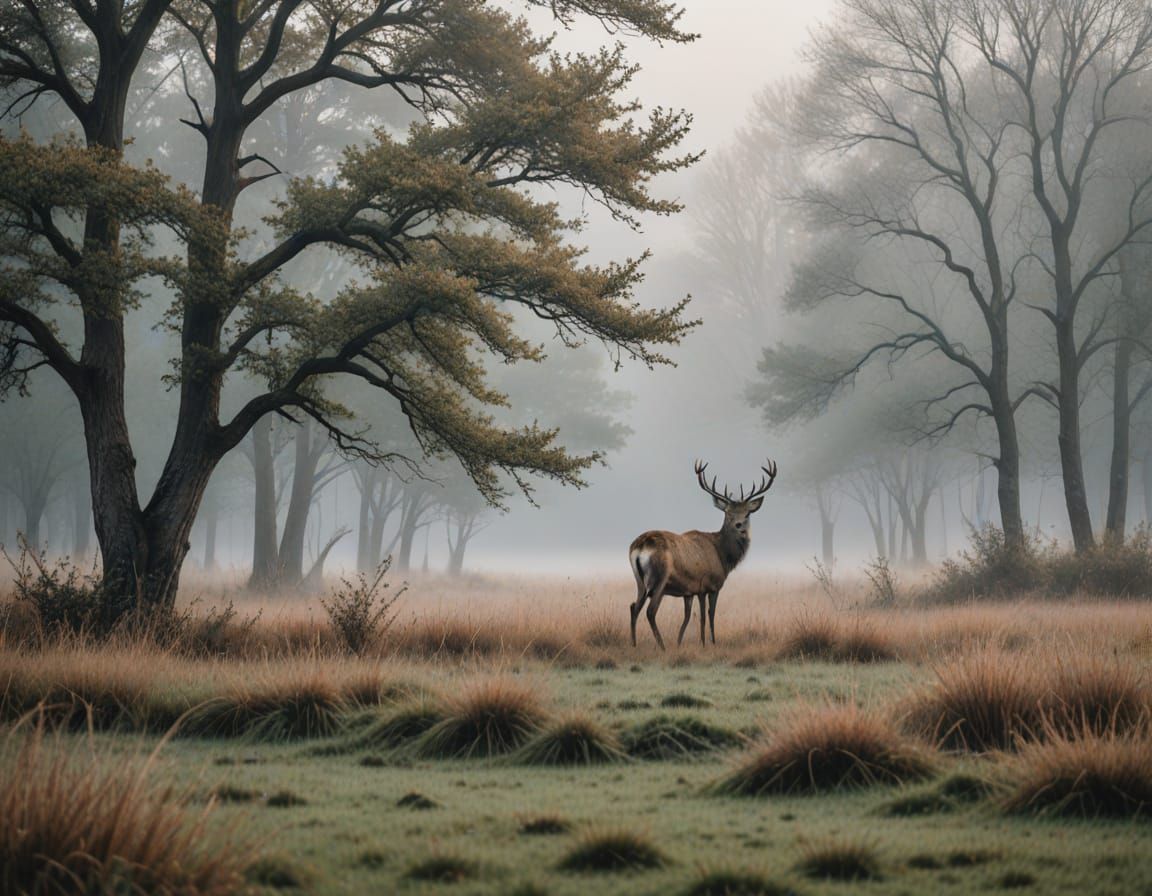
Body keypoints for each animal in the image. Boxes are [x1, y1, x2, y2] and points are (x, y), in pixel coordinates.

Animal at [629, 459, 777, 649]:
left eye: (747, 513)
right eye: (728, 513)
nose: (739, 526)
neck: (723, 557)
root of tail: (640, 547)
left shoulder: (689, 591)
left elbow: (686, 618)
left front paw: (679, 643)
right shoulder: (709, 585)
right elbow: (708, 615)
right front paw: (709, 643)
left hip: (639, 581)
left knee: (634, 607)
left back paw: (634, 644)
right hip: (659, 579)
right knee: (650, 611)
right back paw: (662, 647)